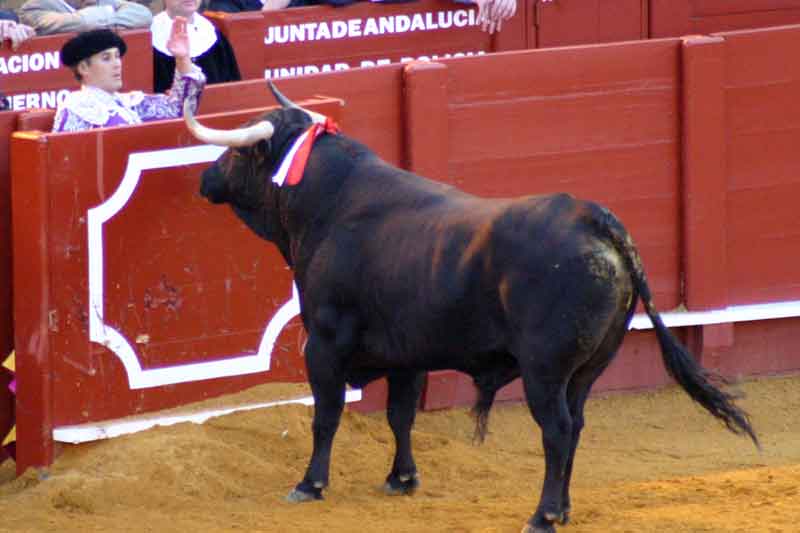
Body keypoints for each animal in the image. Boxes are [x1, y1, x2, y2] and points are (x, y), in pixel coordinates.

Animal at [188, 87, 756, 532]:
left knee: (558, 429)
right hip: (588, 369)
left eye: (238, 155)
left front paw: (310, 484)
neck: (329, 204)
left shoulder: (323, 343)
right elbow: (400, 414)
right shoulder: (406, 353)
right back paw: (565, 509)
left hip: (543, 371)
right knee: (577, 424)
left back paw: (542, 516)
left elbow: (326, 415)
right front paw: (402, 478)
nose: (205, 180)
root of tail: (593, 219)